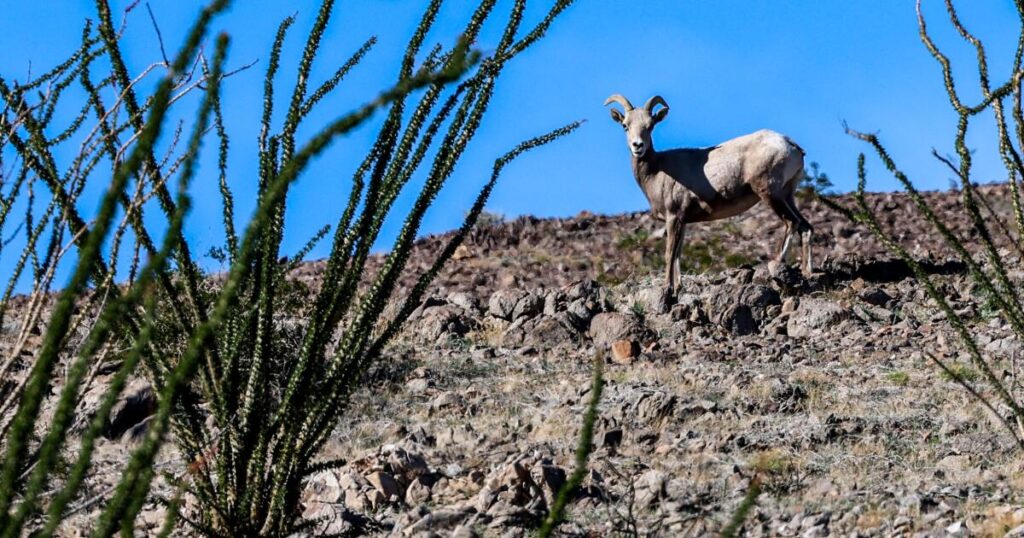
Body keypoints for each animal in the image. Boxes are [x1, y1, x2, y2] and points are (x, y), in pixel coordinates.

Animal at [605, 93, 813, 298]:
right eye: (625, 125)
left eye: (650, 125)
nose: (637, 146)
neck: (657, 171)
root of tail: (791, 145)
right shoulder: (683, 221)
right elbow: (678, 254)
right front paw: (678, 289)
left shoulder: (674, 217)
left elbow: (669, 253)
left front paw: (667, 289)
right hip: (787, 195)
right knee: (806, 227)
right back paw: (807, 272)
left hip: (770, 194)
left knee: (792, 223)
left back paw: (777, 263)